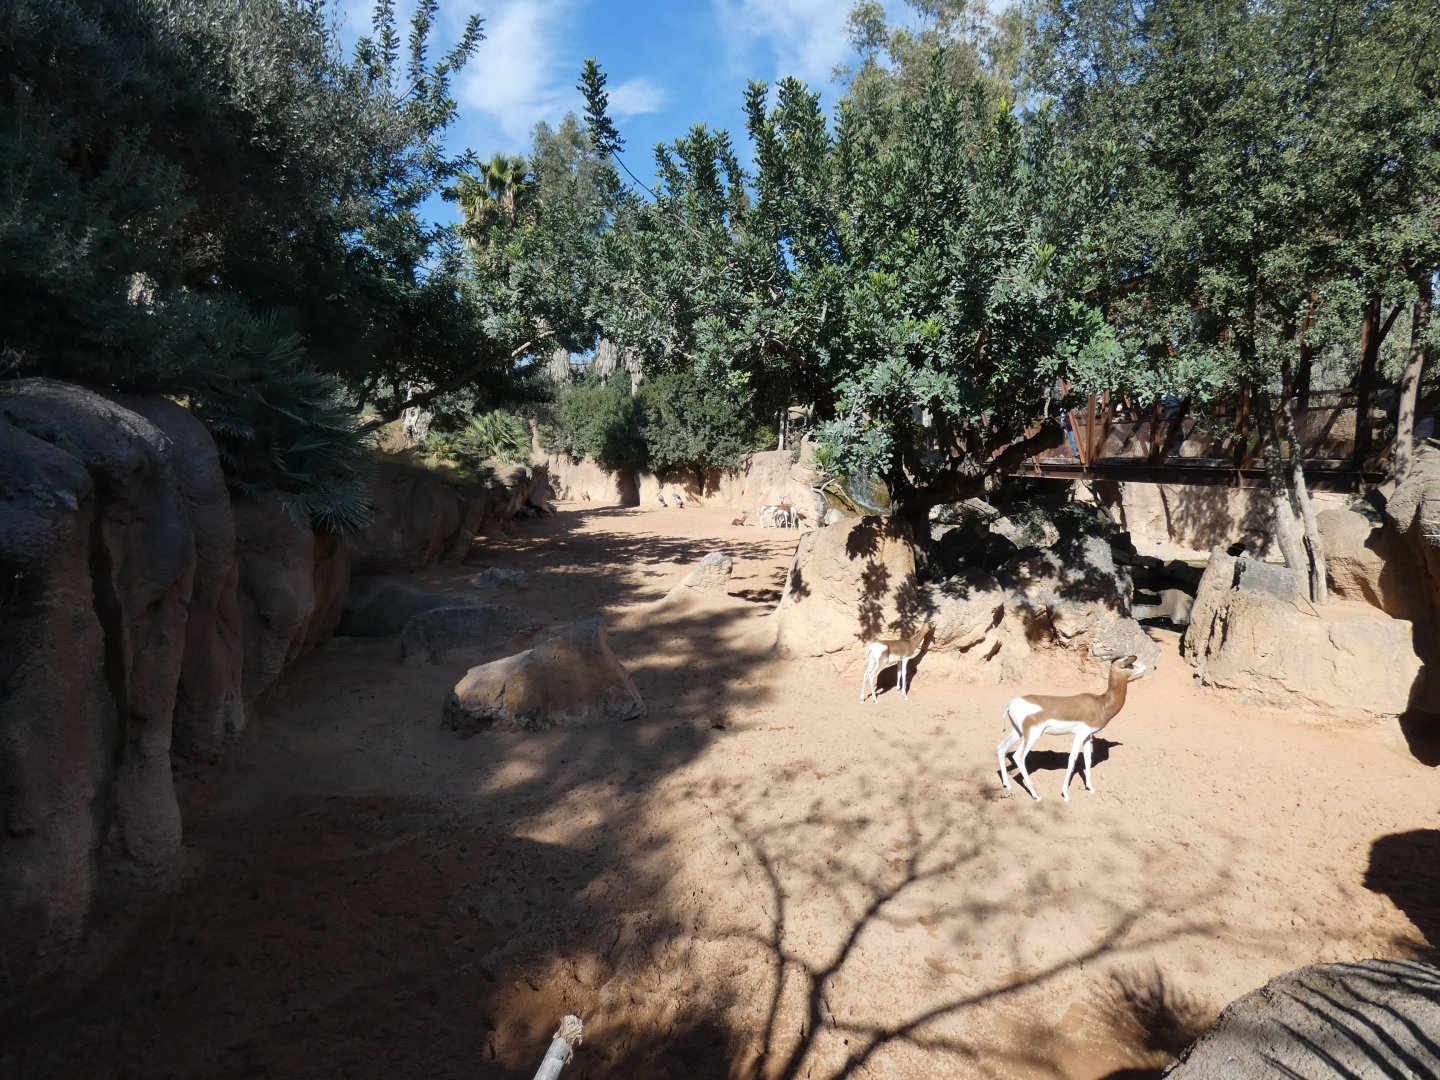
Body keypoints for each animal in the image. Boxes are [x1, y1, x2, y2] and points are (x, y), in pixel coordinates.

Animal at [997, 653, 1146, 802]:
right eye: (1130, 664)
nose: (1145, 667)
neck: (1101, 705)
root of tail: (1011, 704)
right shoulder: (1080, 734)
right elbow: (1072, 758)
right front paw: (1065, 794)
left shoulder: (1087, 736)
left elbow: (1087, 759)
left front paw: (1090, 788)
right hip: (1032, 735)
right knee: (1019, 756)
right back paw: (1036, 795)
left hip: (1018, 732)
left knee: (1001, 748)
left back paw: (1007, 785)